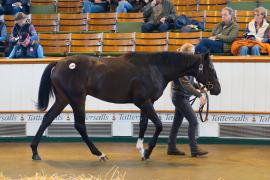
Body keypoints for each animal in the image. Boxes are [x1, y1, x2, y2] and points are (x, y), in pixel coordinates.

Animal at [31, 51, 221, 162]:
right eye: (210, 69)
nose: (217, 90)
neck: (155, 68)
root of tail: (58, 63)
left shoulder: (147, 102)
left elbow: (144, 124)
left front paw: (141, 151)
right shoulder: (143, 102)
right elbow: (158, 125)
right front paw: (147, 152)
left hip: (63, 99)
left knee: (47, 119)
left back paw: (35, 152)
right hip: (77, 99)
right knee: (80, 126)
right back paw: (99, 154)